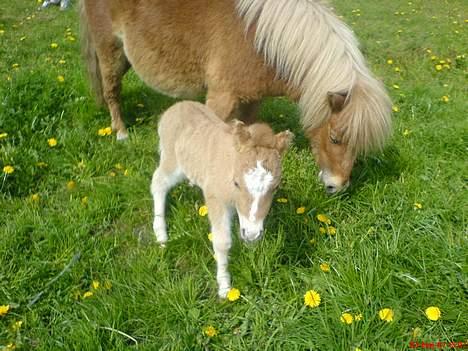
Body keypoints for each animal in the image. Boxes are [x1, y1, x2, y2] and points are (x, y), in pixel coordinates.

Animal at [80, 0, 392, 194]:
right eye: (336, 138)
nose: (336, 186)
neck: (258, 39)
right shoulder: (221, 98)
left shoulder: (252, 100)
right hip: (110, 50)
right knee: (111, 92)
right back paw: (120, 132)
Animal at [151, 101, 292, 296]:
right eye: (236, 183)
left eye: (276, 187)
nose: (252, 234)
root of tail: (175, 107)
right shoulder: (216, 199)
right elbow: (222, 242)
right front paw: (225, 287)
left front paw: (252, 259)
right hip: (172, 161)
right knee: (158, 182)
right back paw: (161, 235)